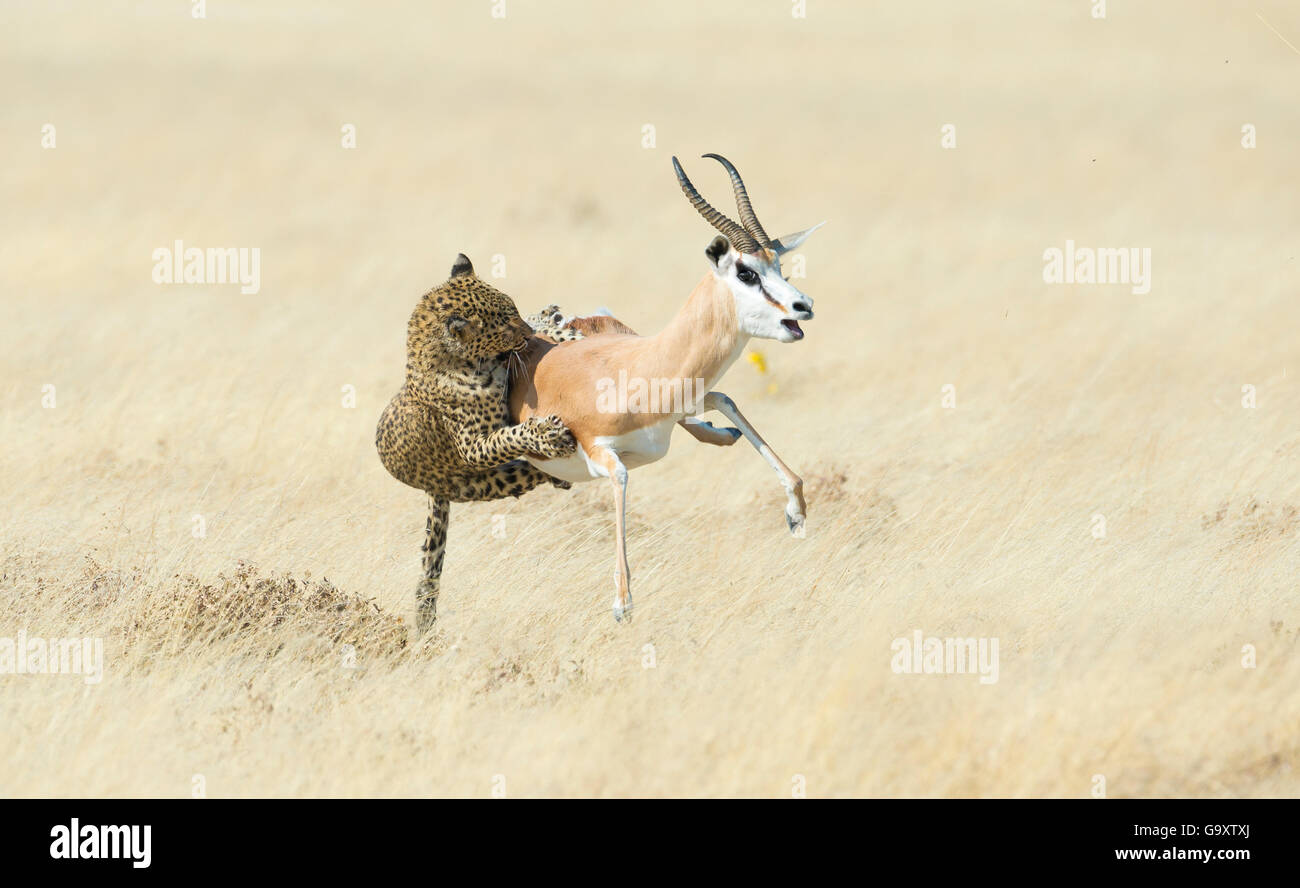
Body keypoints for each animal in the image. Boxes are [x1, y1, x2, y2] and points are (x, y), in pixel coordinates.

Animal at [376, 253, 577, 632]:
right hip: (488, 480)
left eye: (514, 310)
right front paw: (547, 434)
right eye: (504, 325)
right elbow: (510, 435)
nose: (527, 335)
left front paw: (551, 322)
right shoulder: (474, 446)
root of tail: (430, 488)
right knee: (530, 471)